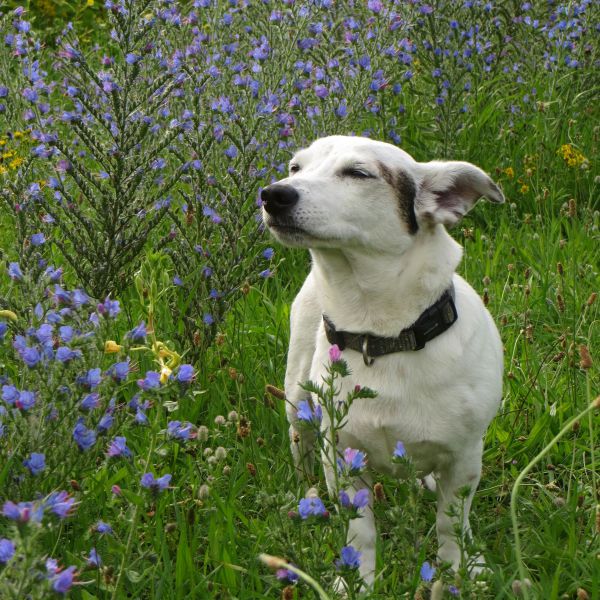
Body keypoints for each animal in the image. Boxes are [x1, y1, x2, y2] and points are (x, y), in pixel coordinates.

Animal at [262, 135, 506, 584]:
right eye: (294, 168)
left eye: (358, 173)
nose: (273, 194)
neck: (382, 334)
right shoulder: (344, 460)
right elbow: (361, 533)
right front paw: (355, 581)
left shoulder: (464, 459)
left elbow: (450, 525)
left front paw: (457, 572)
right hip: (296, 398)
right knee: (300, 445)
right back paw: (306, 494)